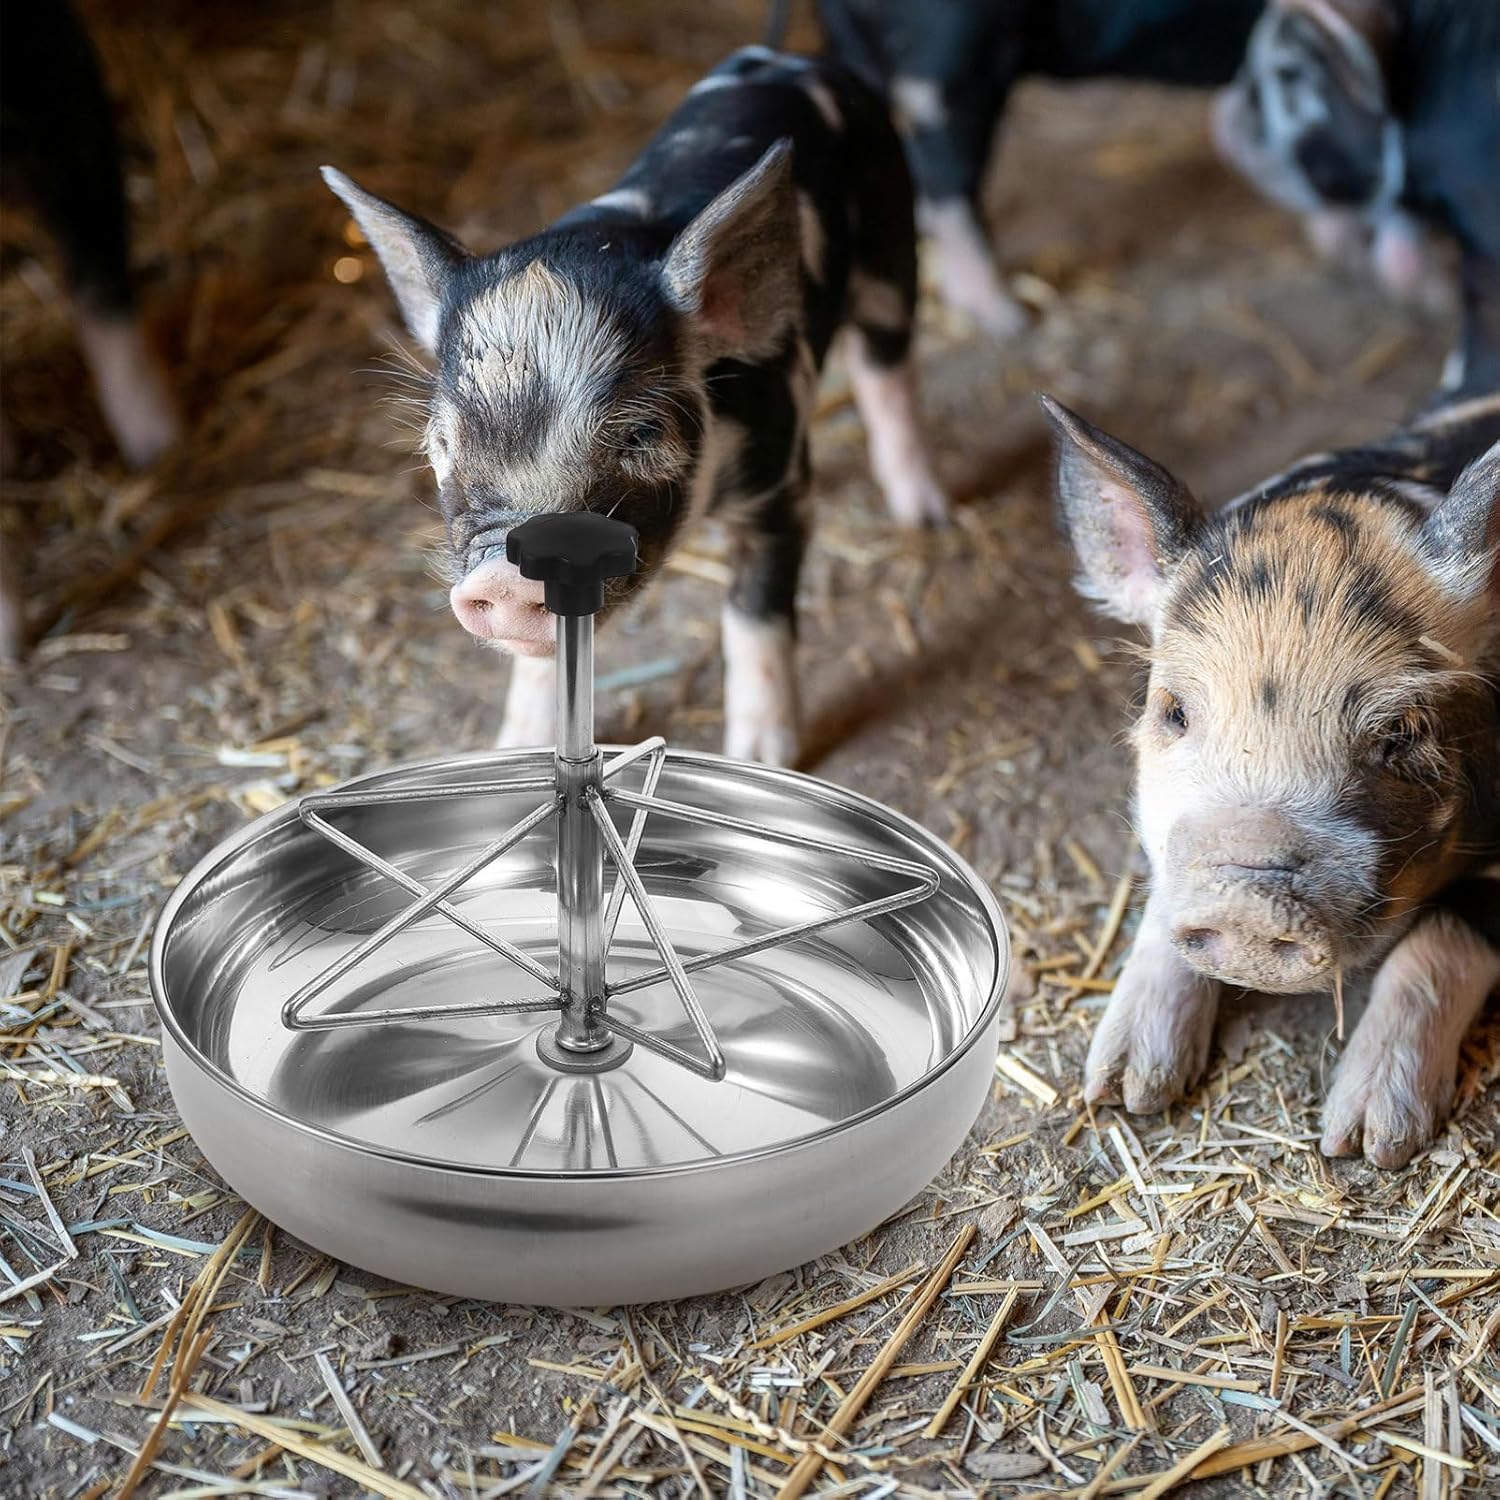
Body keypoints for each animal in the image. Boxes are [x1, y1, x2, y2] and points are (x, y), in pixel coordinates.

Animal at [323, 46, 948, 764]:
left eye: (640, 435)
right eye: (443, 442)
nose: (505, 580)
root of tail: (790, 56)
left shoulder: (779, 484)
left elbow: (755, 613)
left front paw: (760, 760)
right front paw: (513, 748)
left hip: (890, 241)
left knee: (887, 370)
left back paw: (924, 517)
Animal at [1042, 384, 1500, 1167]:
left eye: (1399, 733)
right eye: (1174, 711)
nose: (1249, 902)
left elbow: (1446, 935)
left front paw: (1367, 1141)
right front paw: (1125, 1089)